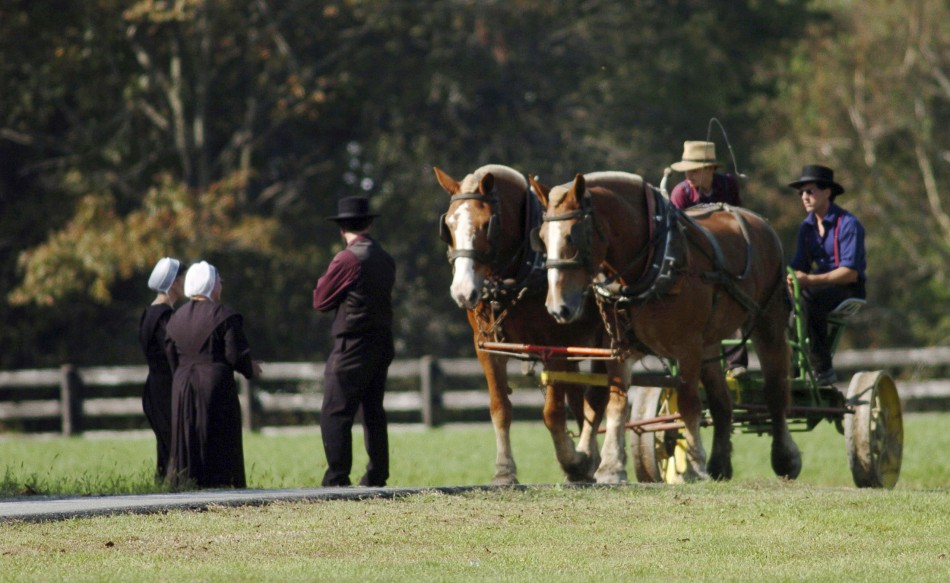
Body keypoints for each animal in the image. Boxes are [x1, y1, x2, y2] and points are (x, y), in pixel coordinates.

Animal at [436, 164, 612, 484]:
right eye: (449, 227)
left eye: (486, 225)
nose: (462, 292)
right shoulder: (486, 347)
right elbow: (500, 407)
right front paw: (504, 471)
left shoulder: (553, 348)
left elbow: (552, 412)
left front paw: (570, 460)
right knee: (579, 398)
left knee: (596, 397)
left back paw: (590, 460)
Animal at [536, 171, 804, 482]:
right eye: (542, 238)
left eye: (574, 235)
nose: (557, 307)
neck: (653, 263)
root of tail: (758, 220)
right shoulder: (620, 348)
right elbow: (616, 403)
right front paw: (611, 466)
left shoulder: (687, 347)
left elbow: (688, 402)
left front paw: (695, 464)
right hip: (709, 342)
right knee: (722, 402)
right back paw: (720, 463)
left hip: (767, 321)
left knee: (775, 389)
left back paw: (784, 457)